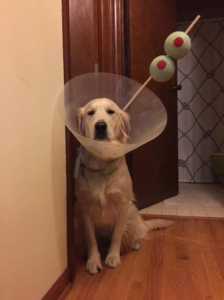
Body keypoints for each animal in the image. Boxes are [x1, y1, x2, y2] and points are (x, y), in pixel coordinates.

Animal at [74, 98, 172, 274]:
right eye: (90, 113)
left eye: (111, 112)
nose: (100, 126)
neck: (101, 165)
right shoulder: (84, 207)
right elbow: (91, 240)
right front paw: (93, 261)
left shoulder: (122, 206)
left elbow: (116, 236)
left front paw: (113, 257)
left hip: (132, 211)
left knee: (139, 233)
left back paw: (134, 244)